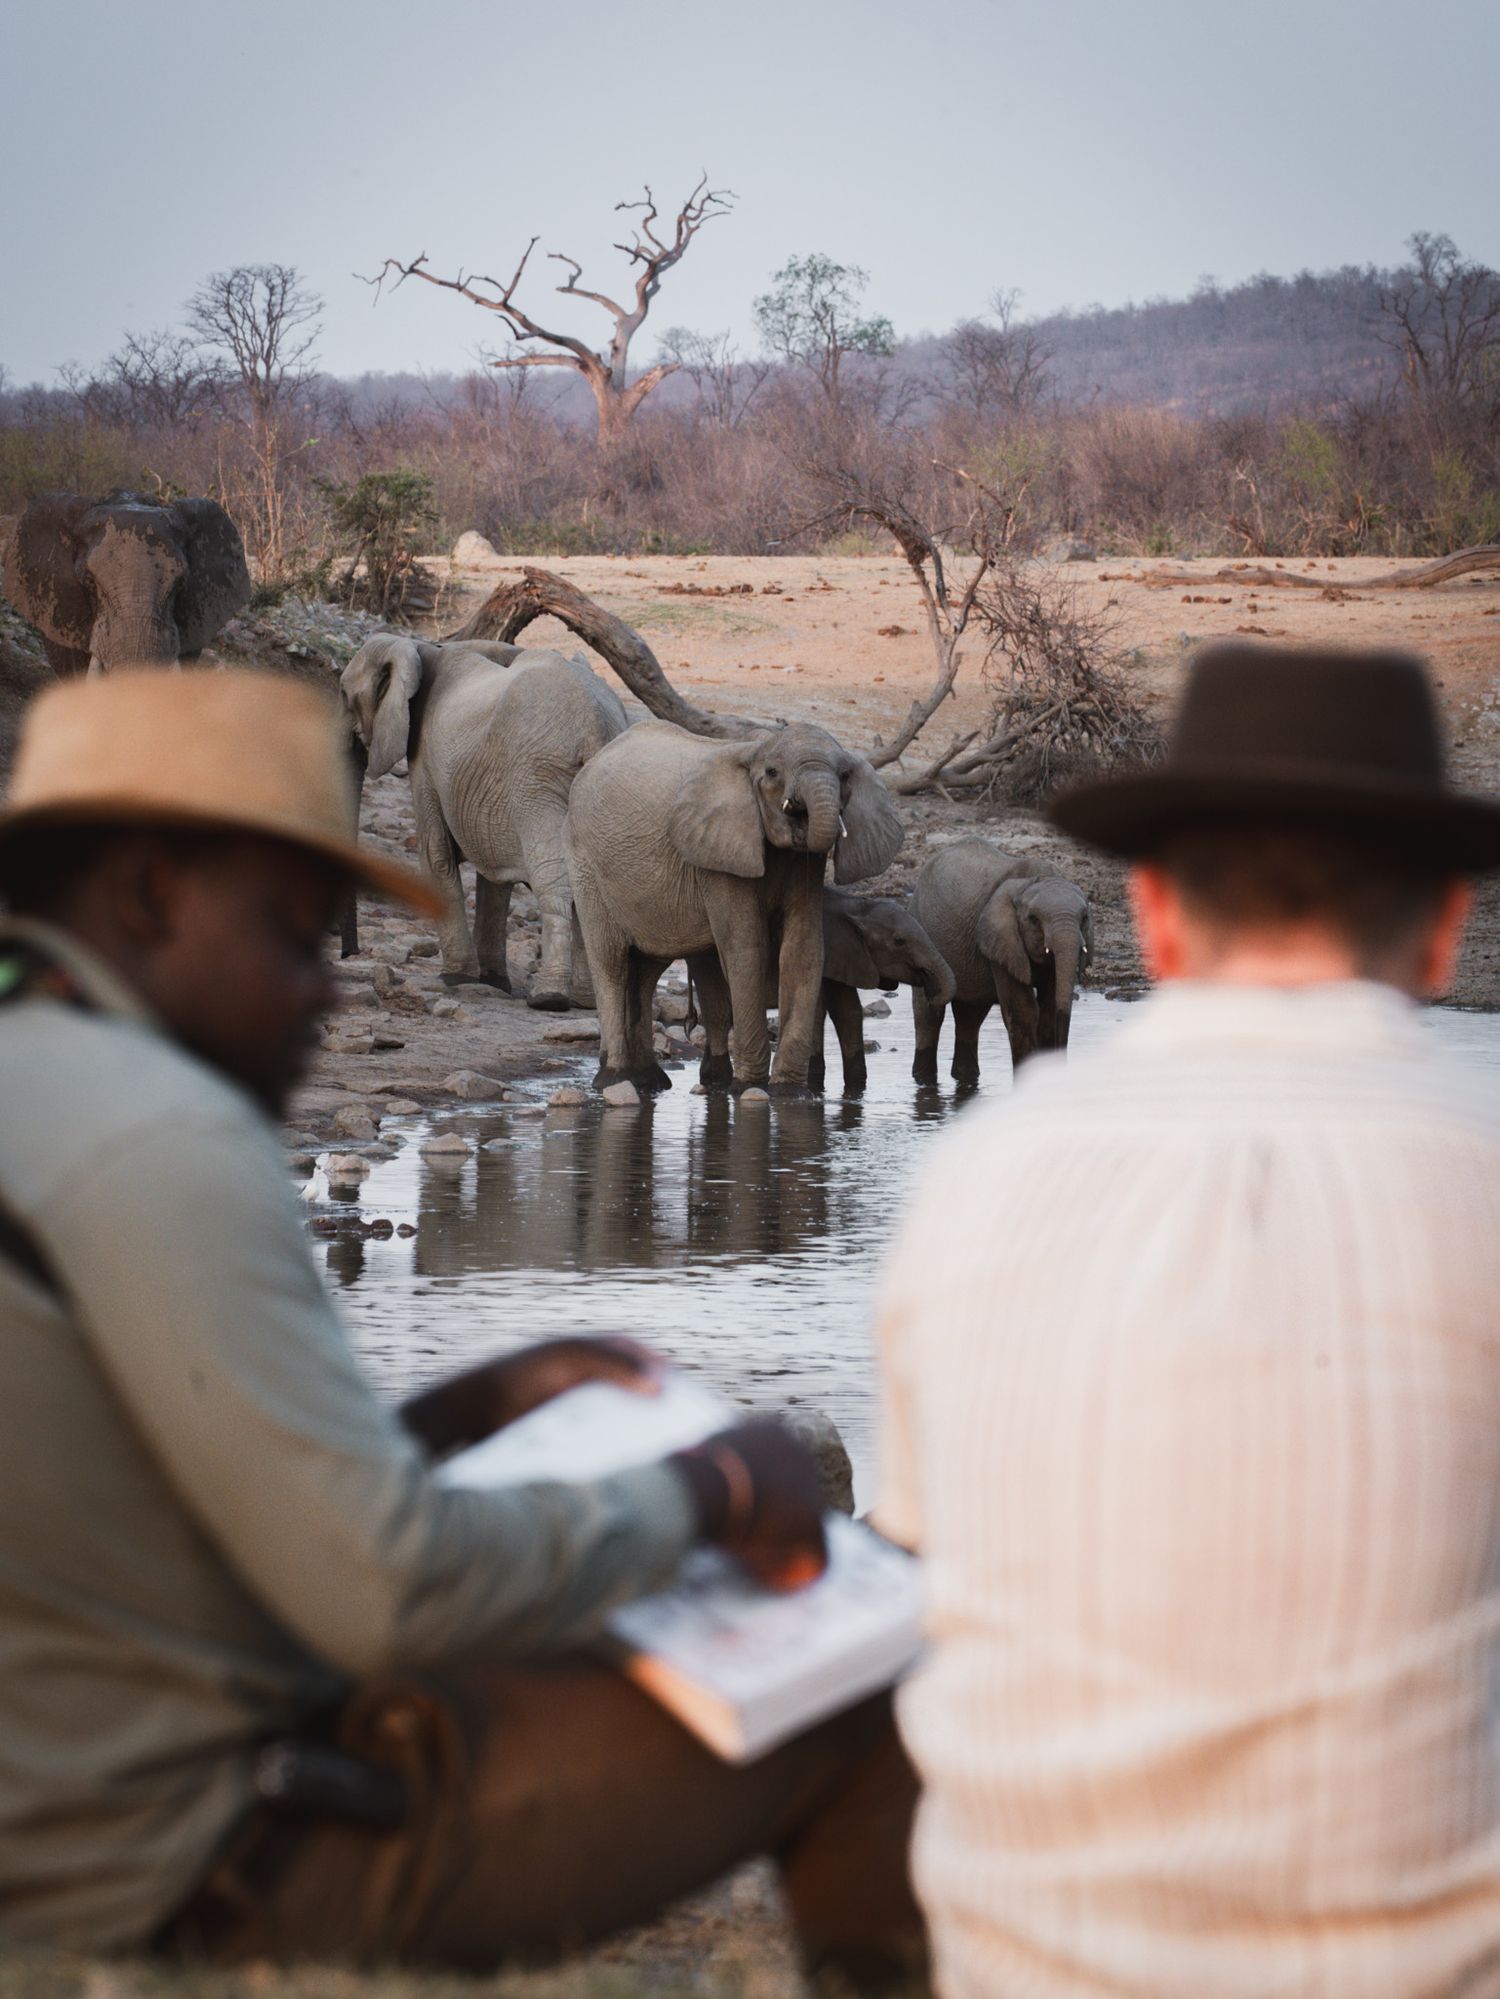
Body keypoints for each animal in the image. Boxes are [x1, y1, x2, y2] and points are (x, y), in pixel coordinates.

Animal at [340, 635, 628, 1008]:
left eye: (344, 695)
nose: (349, 955)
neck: (421, 647)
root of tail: (596, 724)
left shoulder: (426, 760)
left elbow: (436, 856)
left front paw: (456, 978)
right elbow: (494, 877)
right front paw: (493, 982)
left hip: (537, 781)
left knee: (553, 877)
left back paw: (549, 997)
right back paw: (586, 1001)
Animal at [565, 719, 904, 1096]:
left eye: (844, 775)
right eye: (772, 773)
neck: (753, 750)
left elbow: (803, 949)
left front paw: (790, 1093)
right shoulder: (718, 855)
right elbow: (746, 948)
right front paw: (747, 1087)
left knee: (646, 969)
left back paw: (649, 1082)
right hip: (586, 864)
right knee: (610, 961)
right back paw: (615, 1079)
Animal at [688, 887, 954, 1097]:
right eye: (899, 941)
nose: (929, 987)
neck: (858, 906)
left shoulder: (846, 958)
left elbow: (849, 1012)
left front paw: (856, 1087)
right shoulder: (831, 953)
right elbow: (821, 1010)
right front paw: (815, 1083)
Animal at [909, 838, 1093, 1085]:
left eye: (1085, 918)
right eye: (1033, 919)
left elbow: (1048, 1008)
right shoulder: (1000, 942)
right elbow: (1024, 1012)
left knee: (970, 1016)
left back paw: (965, 1077)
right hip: (920, 931)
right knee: (930, 1016)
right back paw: (924, 1080)